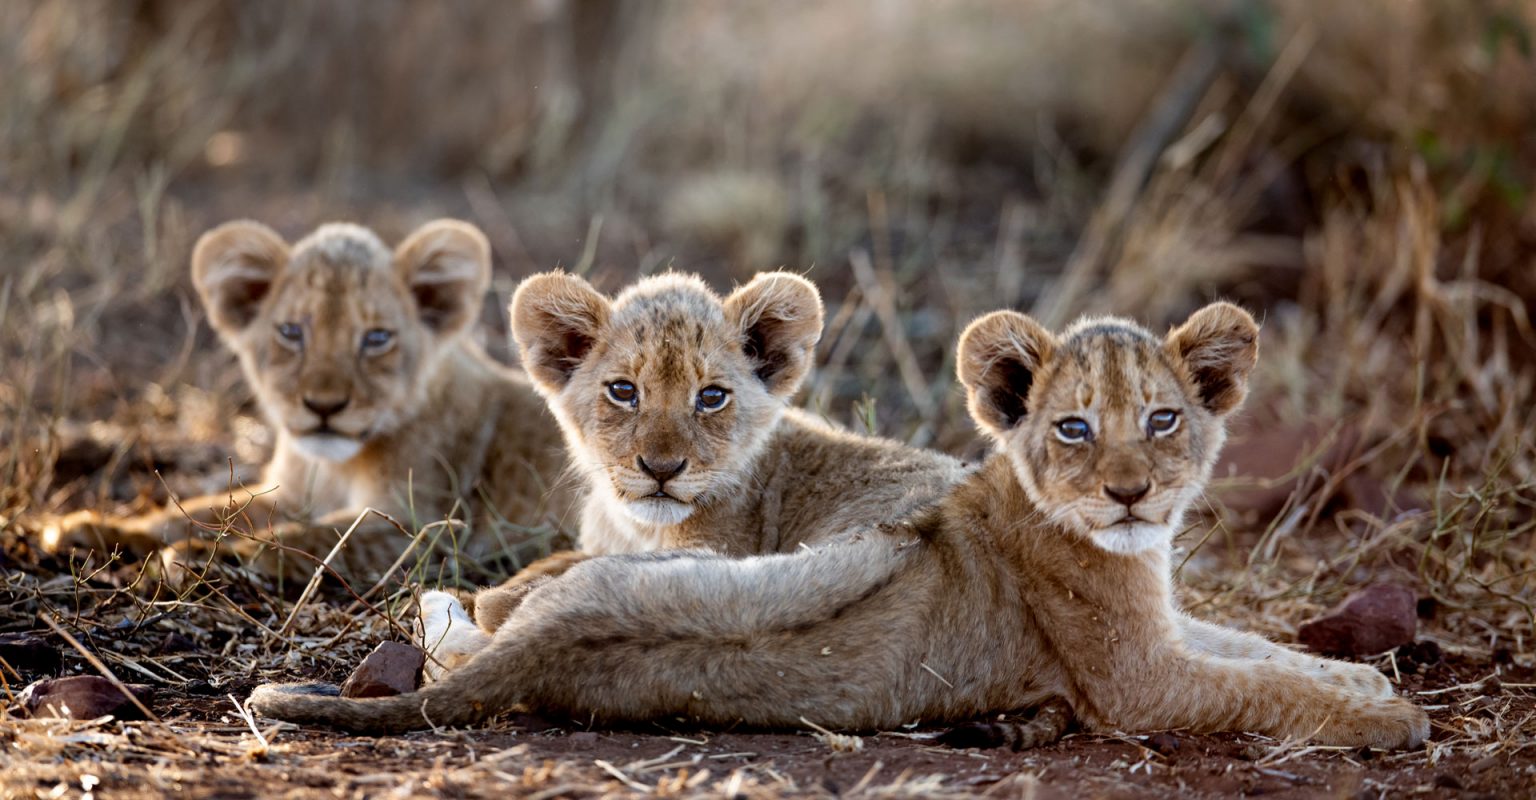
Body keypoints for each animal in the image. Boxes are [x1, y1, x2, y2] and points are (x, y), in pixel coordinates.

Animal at [42, 220, 574, 583]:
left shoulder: (428, 525)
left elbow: (317, 540)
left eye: (376, 338)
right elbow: (194, 511)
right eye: (291, 332)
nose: (324, 406)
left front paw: (218, 556)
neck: (331, 467)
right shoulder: (292, 495)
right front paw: (91, 529)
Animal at [248, 301, 1428, 750]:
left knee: (481, 617)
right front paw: (1389, 718)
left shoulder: (1169, 628)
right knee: (469, 617)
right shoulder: (1136, 681)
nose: (1131, 493)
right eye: (1075, 427)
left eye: (1166, 419)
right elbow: (1256, 685)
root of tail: (554, 651)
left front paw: (1363, 681)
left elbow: (1260, 648)